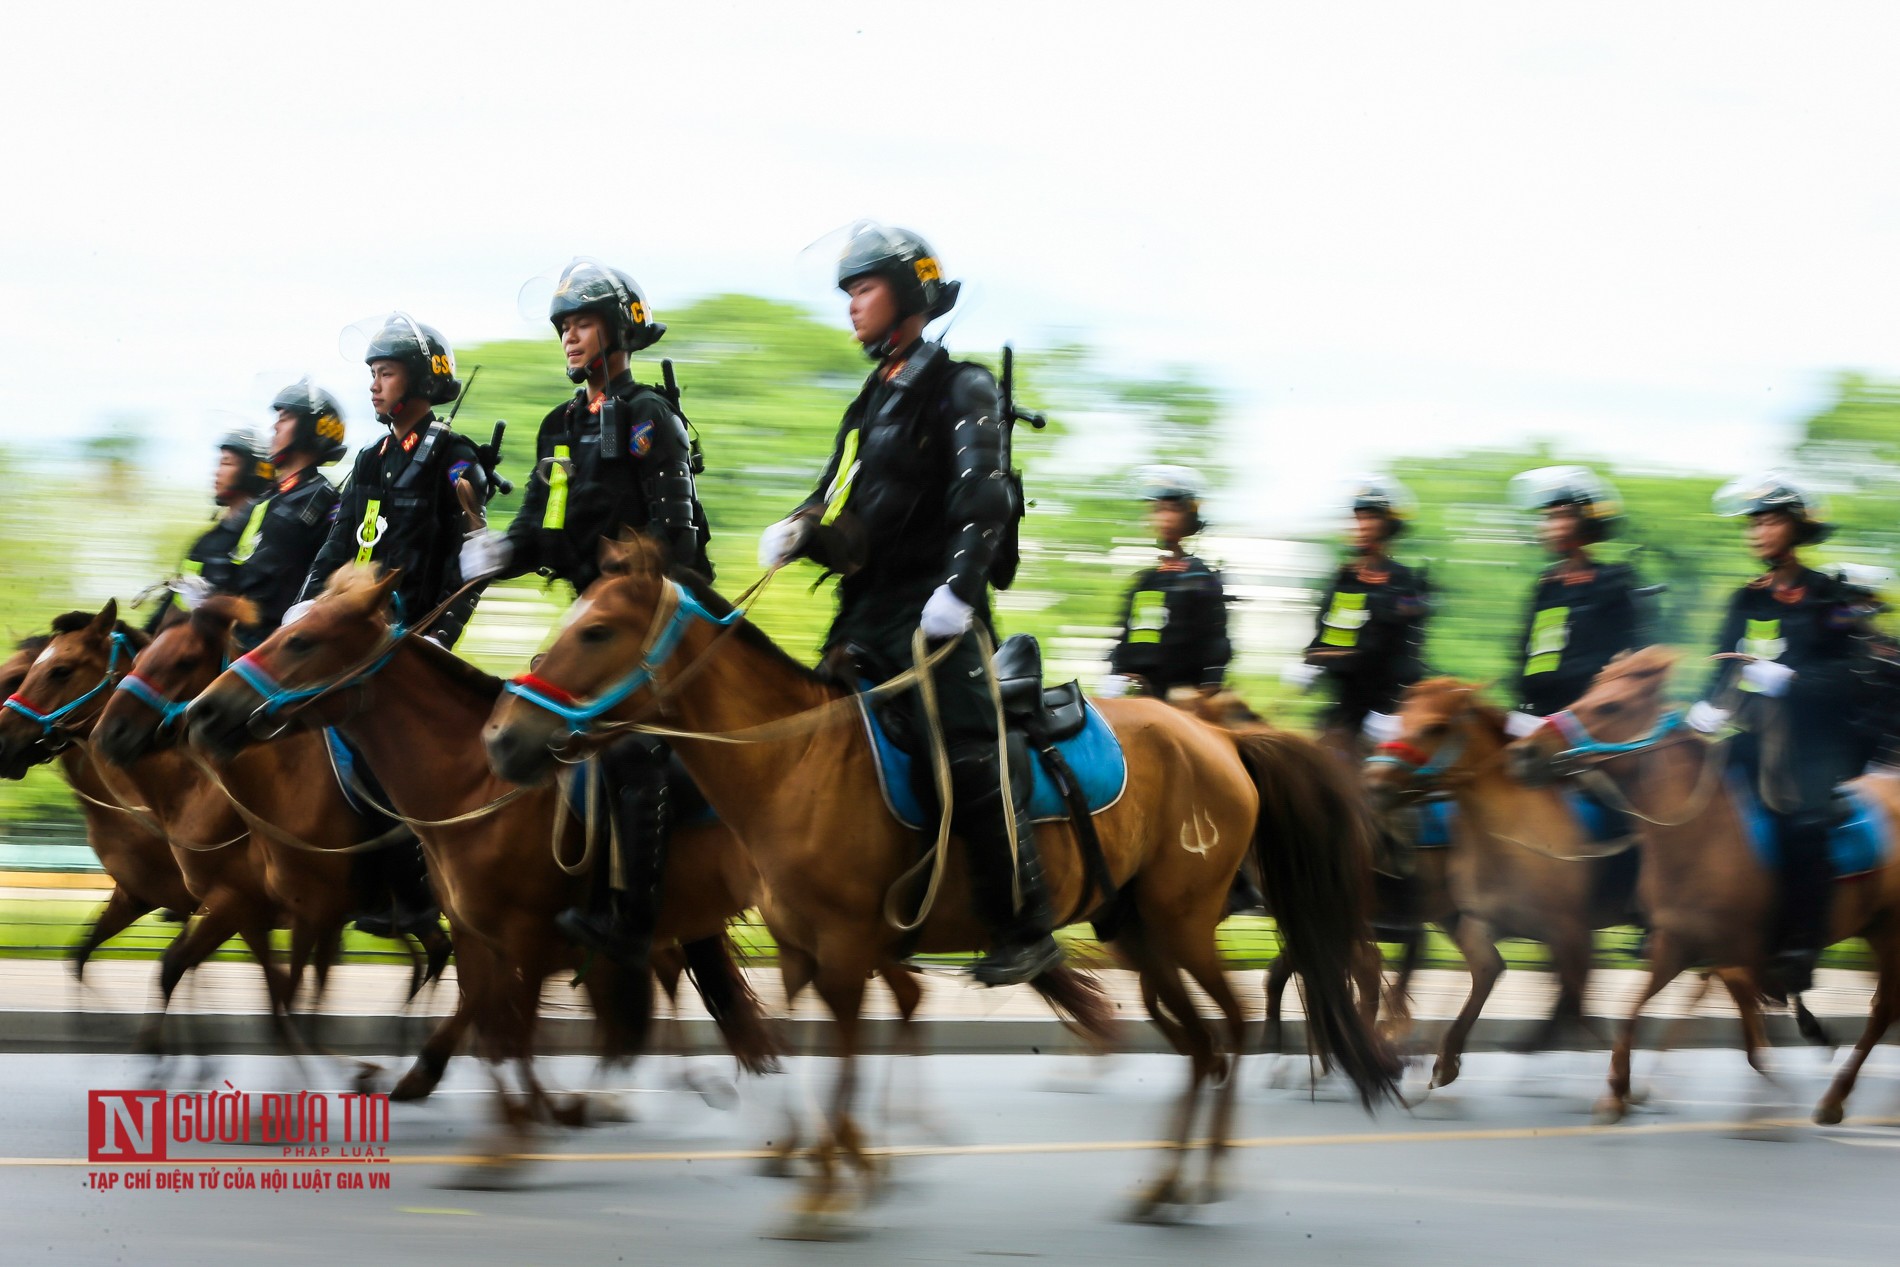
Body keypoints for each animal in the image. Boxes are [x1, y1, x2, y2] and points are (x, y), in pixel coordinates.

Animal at [475, 535, 1398, 1230]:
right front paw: (841, 1164)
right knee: (1203, 1043)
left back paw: (1203, 1178)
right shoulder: (803, 951)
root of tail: (1217, 736)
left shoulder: (847, 949)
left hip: (1182, 924)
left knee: (1232, 1029)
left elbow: (843, 1055)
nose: (501, 737)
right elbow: (811, 1050)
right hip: (1140, 937)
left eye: (597, 630)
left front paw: (828, 1187)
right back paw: (1168, 1184)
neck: (795, 762)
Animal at [1360, 680, 1641, 1086]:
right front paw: (1444, 1059)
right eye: (1398, 718)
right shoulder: (1477, 921)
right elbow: (1489, 970)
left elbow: (1578, 999)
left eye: (1436, 727)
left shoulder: (1570, 929)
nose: (1375, 784)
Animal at [1512, 649, 1900, 1124]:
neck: (1704, 835)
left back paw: (1833, 1099)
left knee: (1883, 1010)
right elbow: (1632, 1010)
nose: (1525, 752)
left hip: (1892, 932)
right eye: (1587, 693)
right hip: (1876, 929)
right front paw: (1618, 1091)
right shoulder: (1678, 941)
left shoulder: (1741, 950)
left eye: (1610, 707)